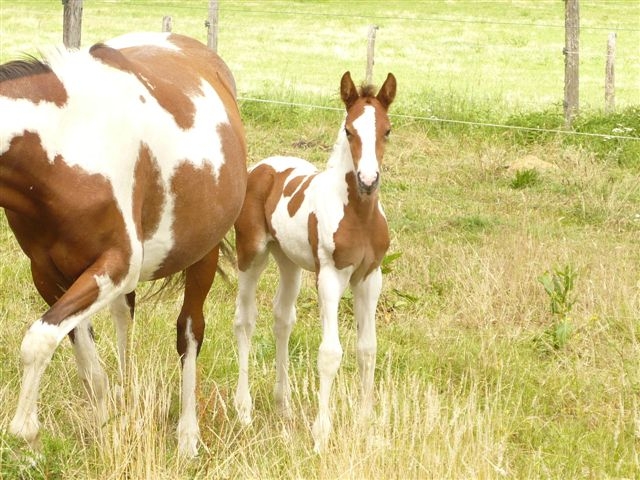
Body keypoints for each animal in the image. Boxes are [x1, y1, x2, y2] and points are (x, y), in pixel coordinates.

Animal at [0, 31, 248, 456]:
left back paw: (188, 436)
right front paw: (107, 426)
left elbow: (39, 339)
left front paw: (26, 430)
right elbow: (85, 359)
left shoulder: (117, 265)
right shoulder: (48, 275)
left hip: (203, 255)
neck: (65, 145)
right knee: (124, 323)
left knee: (189, 333)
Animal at [232, 70, 398, 450]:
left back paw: (283, 406)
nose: (368, 181)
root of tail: (262, 167)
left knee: (282, 319)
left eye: (387, 130)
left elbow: (367, 349)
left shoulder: (370, 278)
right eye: (349, 130)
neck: (359, 215)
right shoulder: (330, 277)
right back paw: (244, 411)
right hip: (251, 255)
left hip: (289, 262)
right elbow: (330, 353)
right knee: (245, 321)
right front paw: (322, 434)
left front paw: (365, 425)